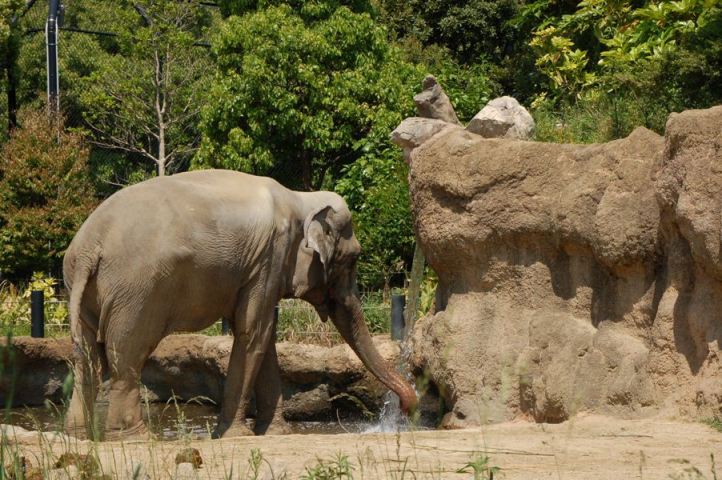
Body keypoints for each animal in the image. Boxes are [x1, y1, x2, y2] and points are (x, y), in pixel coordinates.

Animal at [66, 169, 416, 438]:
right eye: (353, 259)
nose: (405, 409)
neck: (300, 198)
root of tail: (88, 249)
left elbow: (265, 337)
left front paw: (275, 434)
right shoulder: (268, 259)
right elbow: (253, 333)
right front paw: (236, 435)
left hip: (87, 292)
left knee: (87, 358)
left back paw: (79, 435)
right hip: (136, 293)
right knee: (127, 355)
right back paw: (136, 438)